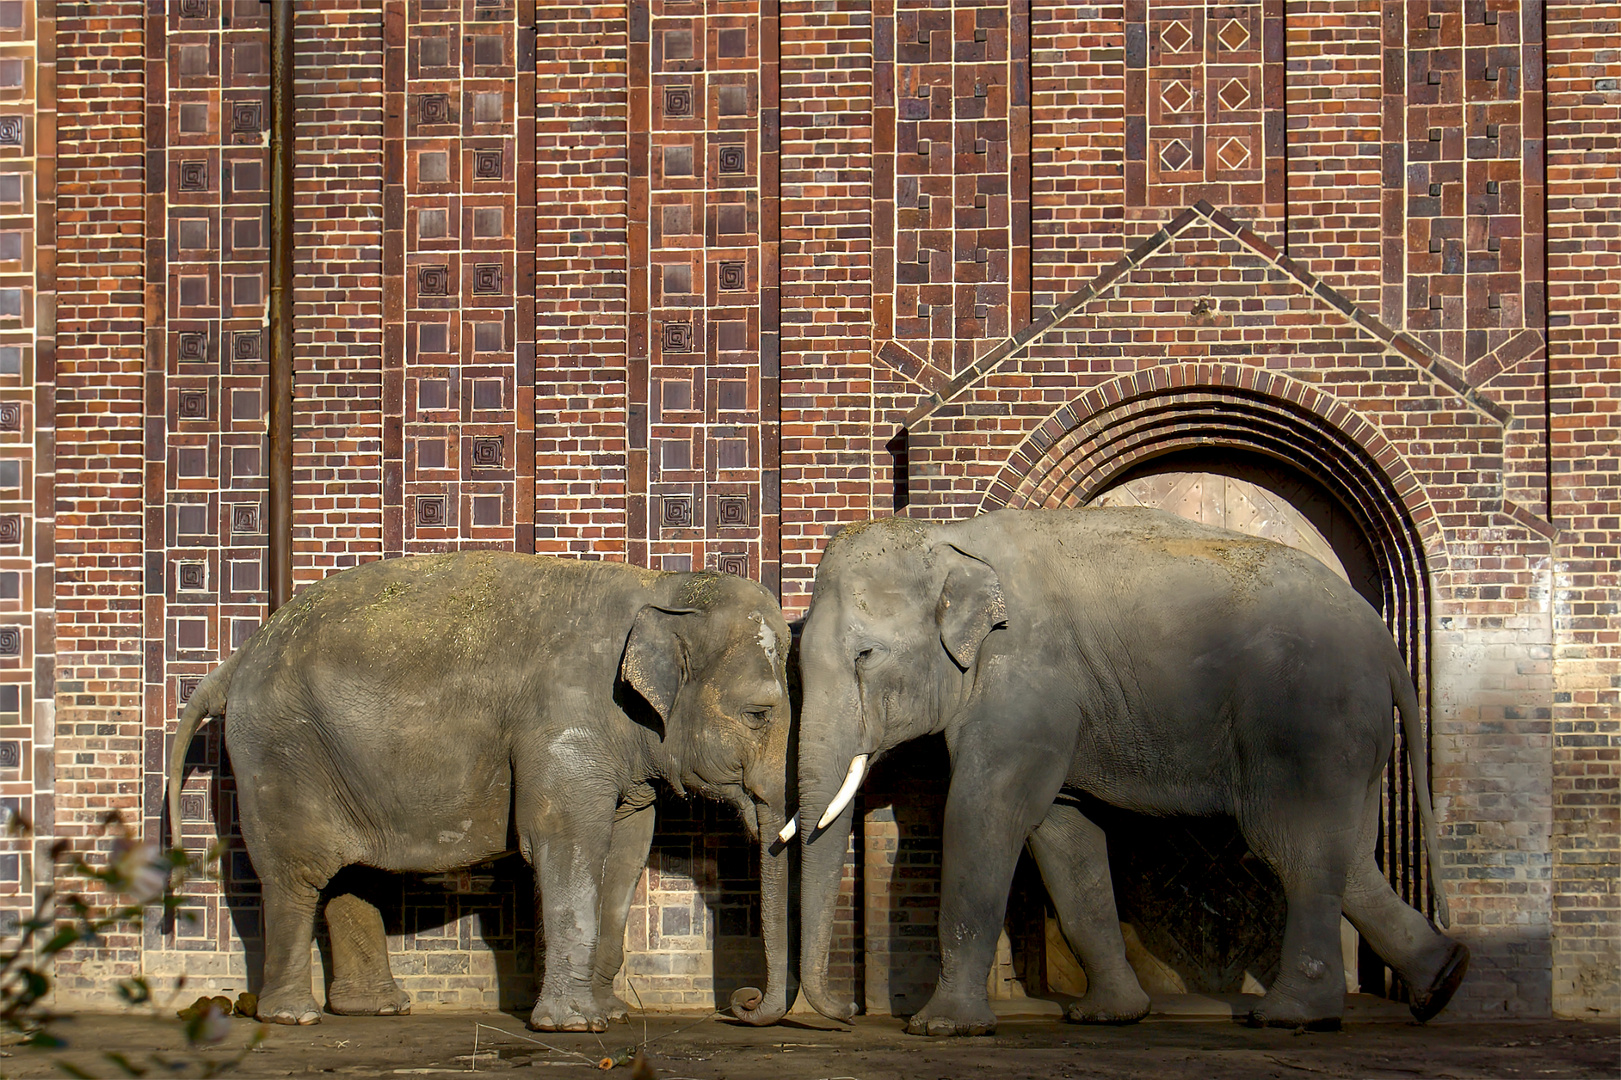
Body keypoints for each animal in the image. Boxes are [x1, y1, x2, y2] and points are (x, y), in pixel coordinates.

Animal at [167, 551, 794, 1031]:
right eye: (759, 714)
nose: (742, 1003)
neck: (662, 584)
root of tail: (238, 659)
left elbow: (624, 852)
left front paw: (610, 1014)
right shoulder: (563, 722)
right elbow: (563, 843)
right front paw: (576, 1026)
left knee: (349, 873)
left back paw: (377, 1010)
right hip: (278, 754)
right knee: (296, 875)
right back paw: (292, 1017)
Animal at [784, 512, 1471, 1037]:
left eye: (864, 655)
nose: (846, 1013)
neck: (950, 536)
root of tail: (1385, 643)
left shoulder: (1026, 677)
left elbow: (987, 811)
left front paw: (941, 1028)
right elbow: (1063, 836)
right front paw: (1109, 1016)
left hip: (1306, 724)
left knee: (1291, 846)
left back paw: (1290, 1018)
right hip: (1352, 738)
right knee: (1345, 855)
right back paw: (1443, 981)